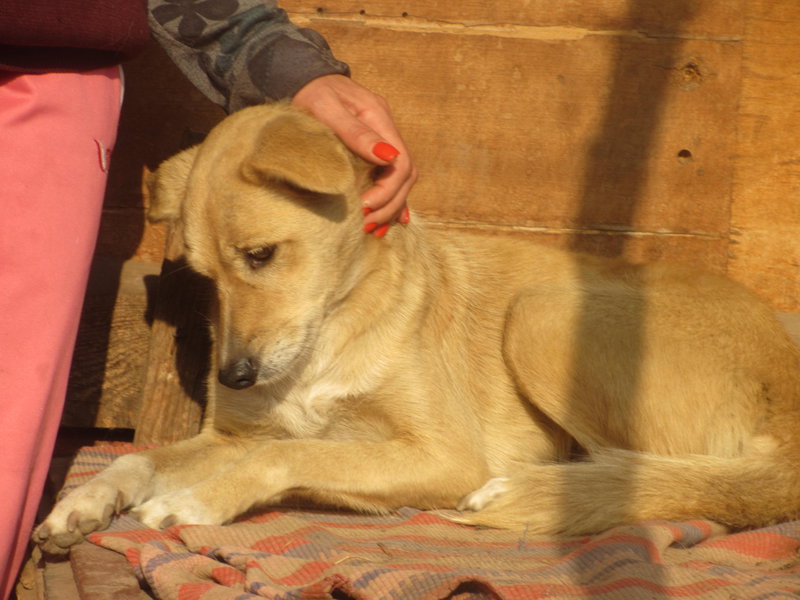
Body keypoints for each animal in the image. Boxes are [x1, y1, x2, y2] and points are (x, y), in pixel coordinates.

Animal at [34, 102, 800, 552]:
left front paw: (197, 500)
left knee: (654, 476)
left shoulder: (445, 454)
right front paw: (85, 500)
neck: (331, 332)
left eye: (261, 255)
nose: (235, 376)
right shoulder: (231, 434)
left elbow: (295, 453)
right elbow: (143, 458)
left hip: (542, 315)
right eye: (202, 275)